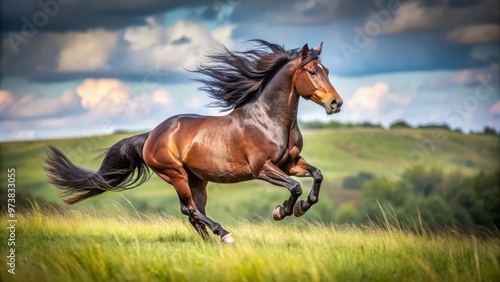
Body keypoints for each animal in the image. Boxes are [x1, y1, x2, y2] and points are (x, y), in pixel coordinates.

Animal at [44, 38, 344, 243]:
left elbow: (316, 175)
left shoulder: (290, 162)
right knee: (188, 208)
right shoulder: (263, 168)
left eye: (328, 70)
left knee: (194, 211)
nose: (336, 103)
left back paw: (210, 241)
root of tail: (151, 135)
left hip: (197, 179)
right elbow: (294, 187)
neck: (268, 120)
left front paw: (302, 207)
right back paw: (224, 234)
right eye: (313, 72)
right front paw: (282, 211)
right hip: (174, 173)